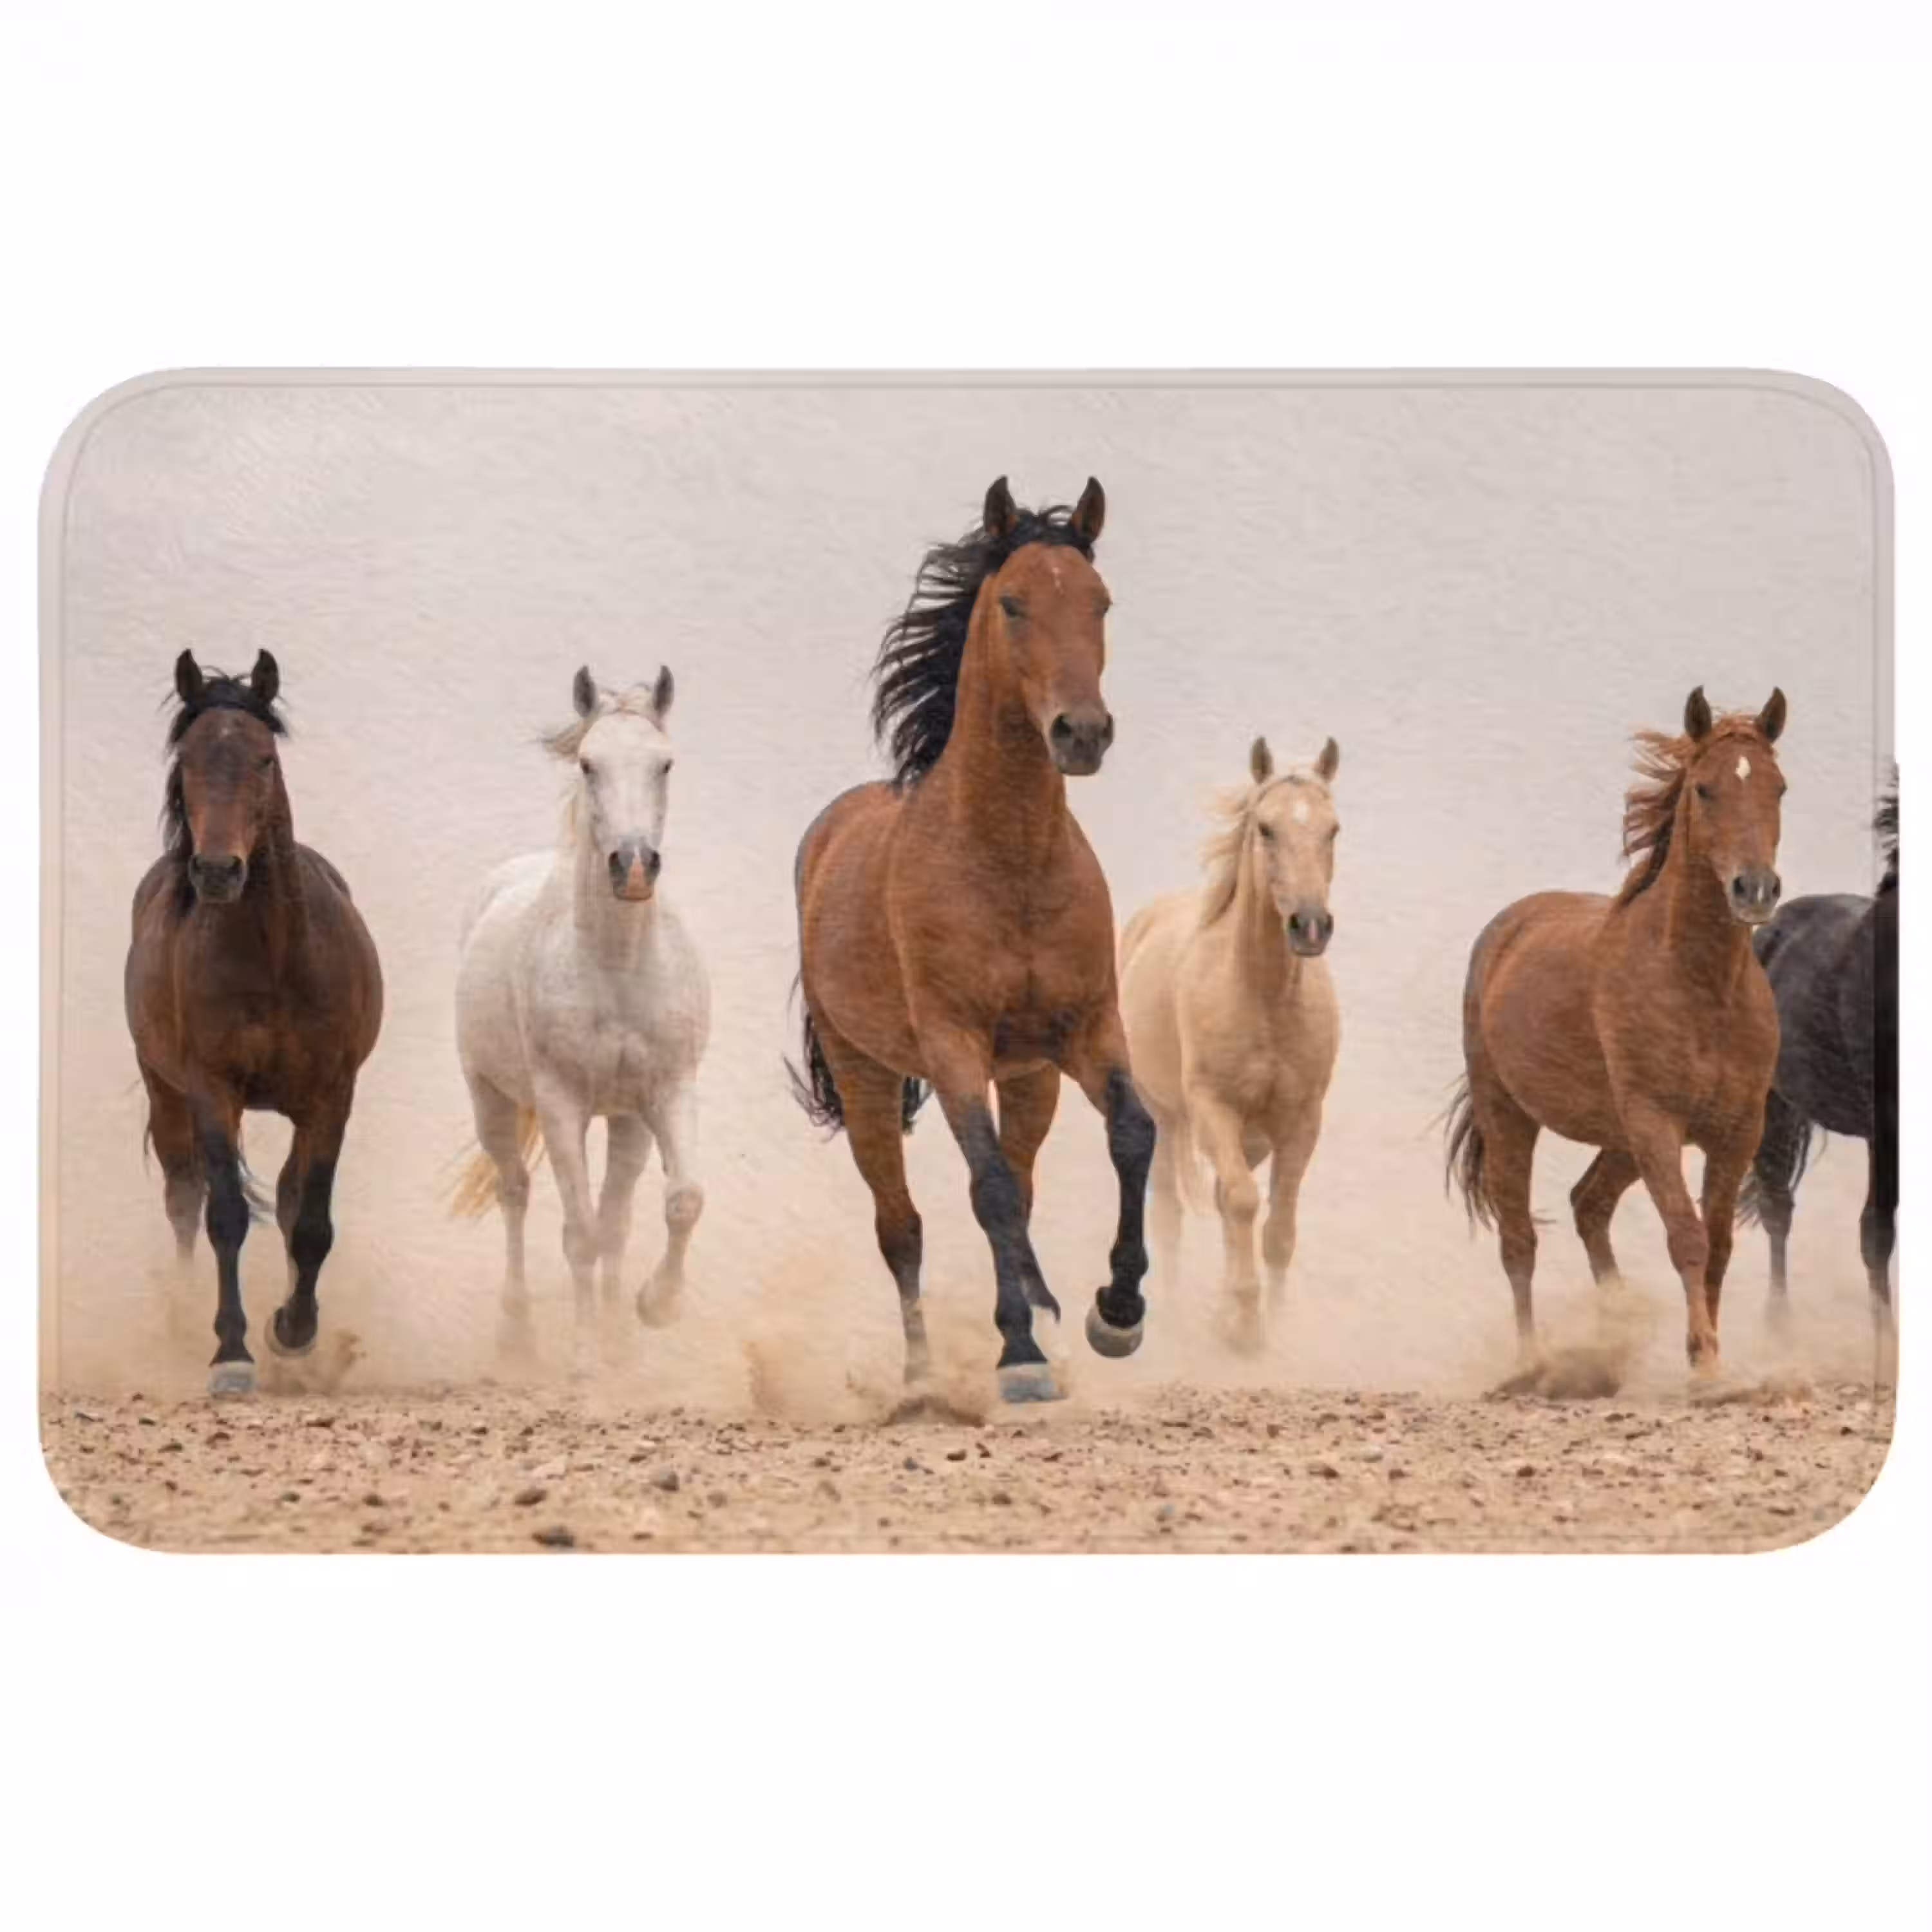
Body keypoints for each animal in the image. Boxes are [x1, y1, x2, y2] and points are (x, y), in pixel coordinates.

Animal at [124, 650, 384, 1396]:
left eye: (265, 758)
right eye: (186, 759)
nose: (216, 870)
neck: (273, 959)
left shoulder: (331, 1097)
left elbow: (313, 1221)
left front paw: (293, 1332)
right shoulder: (212, 1090)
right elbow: (226, 1216)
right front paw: (231, 1354)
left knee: (293, 1197)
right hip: (164, 1091)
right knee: (185, 1197)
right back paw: (185, 1318)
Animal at [451, 666, 709, 1365]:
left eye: (665, 763)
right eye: (590, 765)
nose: (635, 866)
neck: (615, 968)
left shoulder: (662, 1096)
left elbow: (678, 1203)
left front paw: (651, 1311)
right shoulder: (562, 1104)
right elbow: (581, 1234)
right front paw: (587, 1358)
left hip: (622, 1121)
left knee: (615, 1218)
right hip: (491, 1099)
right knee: (515, 1191)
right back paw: (517, 1332)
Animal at [789, 475, 1154, 1403]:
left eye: (1101, 603)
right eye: (1015, 603)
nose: (1082, 733)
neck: (1010, 861)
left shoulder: (1087, 1031)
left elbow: (1133, 1135)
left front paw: (1115, 1315)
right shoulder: (952, 1044)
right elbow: (983, 1188)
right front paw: (1020, 1356)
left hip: (1029, 1079)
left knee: (1019, 1186)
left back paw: (1048, 1315)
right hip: (867, 1075)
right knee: (903, 1225)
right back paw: (924, 1379)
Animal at [1119, 734, 1342, 1353]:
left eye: (1333, 829)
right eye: (1265, 828)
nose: (1309, 926)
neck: (1261, 997)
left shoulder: (1301, 1121)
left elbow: (1279, 1229)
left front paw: (1272, 1322)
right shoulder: (1212, 1110)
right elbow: (1242, 1203)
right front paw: (1245, 1325)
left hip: (1251, 1137)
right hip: (1166, 1118)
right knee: (1171, 1214)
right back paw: (1173, 1313)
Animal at [1444, 685, 1788, 1380]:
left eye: (1779, 788)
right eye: (1705, 789)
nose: (1756, 890)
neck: (1698, 987)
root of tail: (1509, 926)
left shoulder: (1737, 1131)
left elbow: (1718, 1245)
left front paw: (1709, 1358)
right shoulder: (1656, 1122)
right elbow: (1686, 1236)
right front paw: (1706, 1367)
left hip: (1619, 1139)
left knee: (1588, 1204)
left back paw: (1612, 1331)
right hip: (1511, 1115)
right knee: (1519, 1239)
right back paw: (1534, 1363)